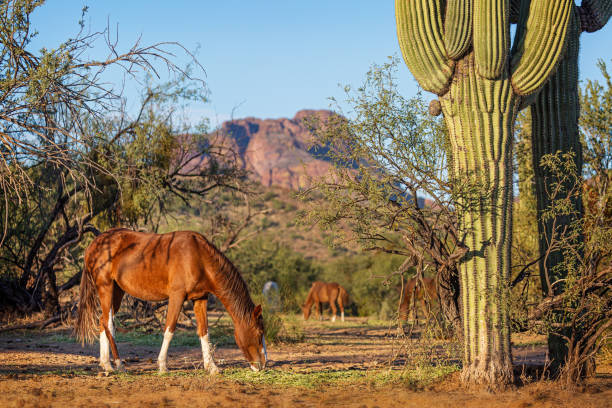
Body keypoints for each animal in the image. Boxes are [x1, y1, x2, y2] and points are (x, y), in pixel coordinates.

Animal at [75, 228, 266, 374]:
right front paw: (162, 366)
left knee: (103, 321)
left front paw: (211, 367)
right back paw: (119, 364)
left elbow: (204, 332)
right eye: (259, 333)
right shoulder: (177, 296)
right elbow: (170, 330)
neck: (198, 257)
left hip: (117, 291)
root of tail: (93, 244)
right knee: (108, 323)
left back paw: (107, 364)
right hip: (105, 287)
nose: (263, 365)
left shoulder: (200, 298)